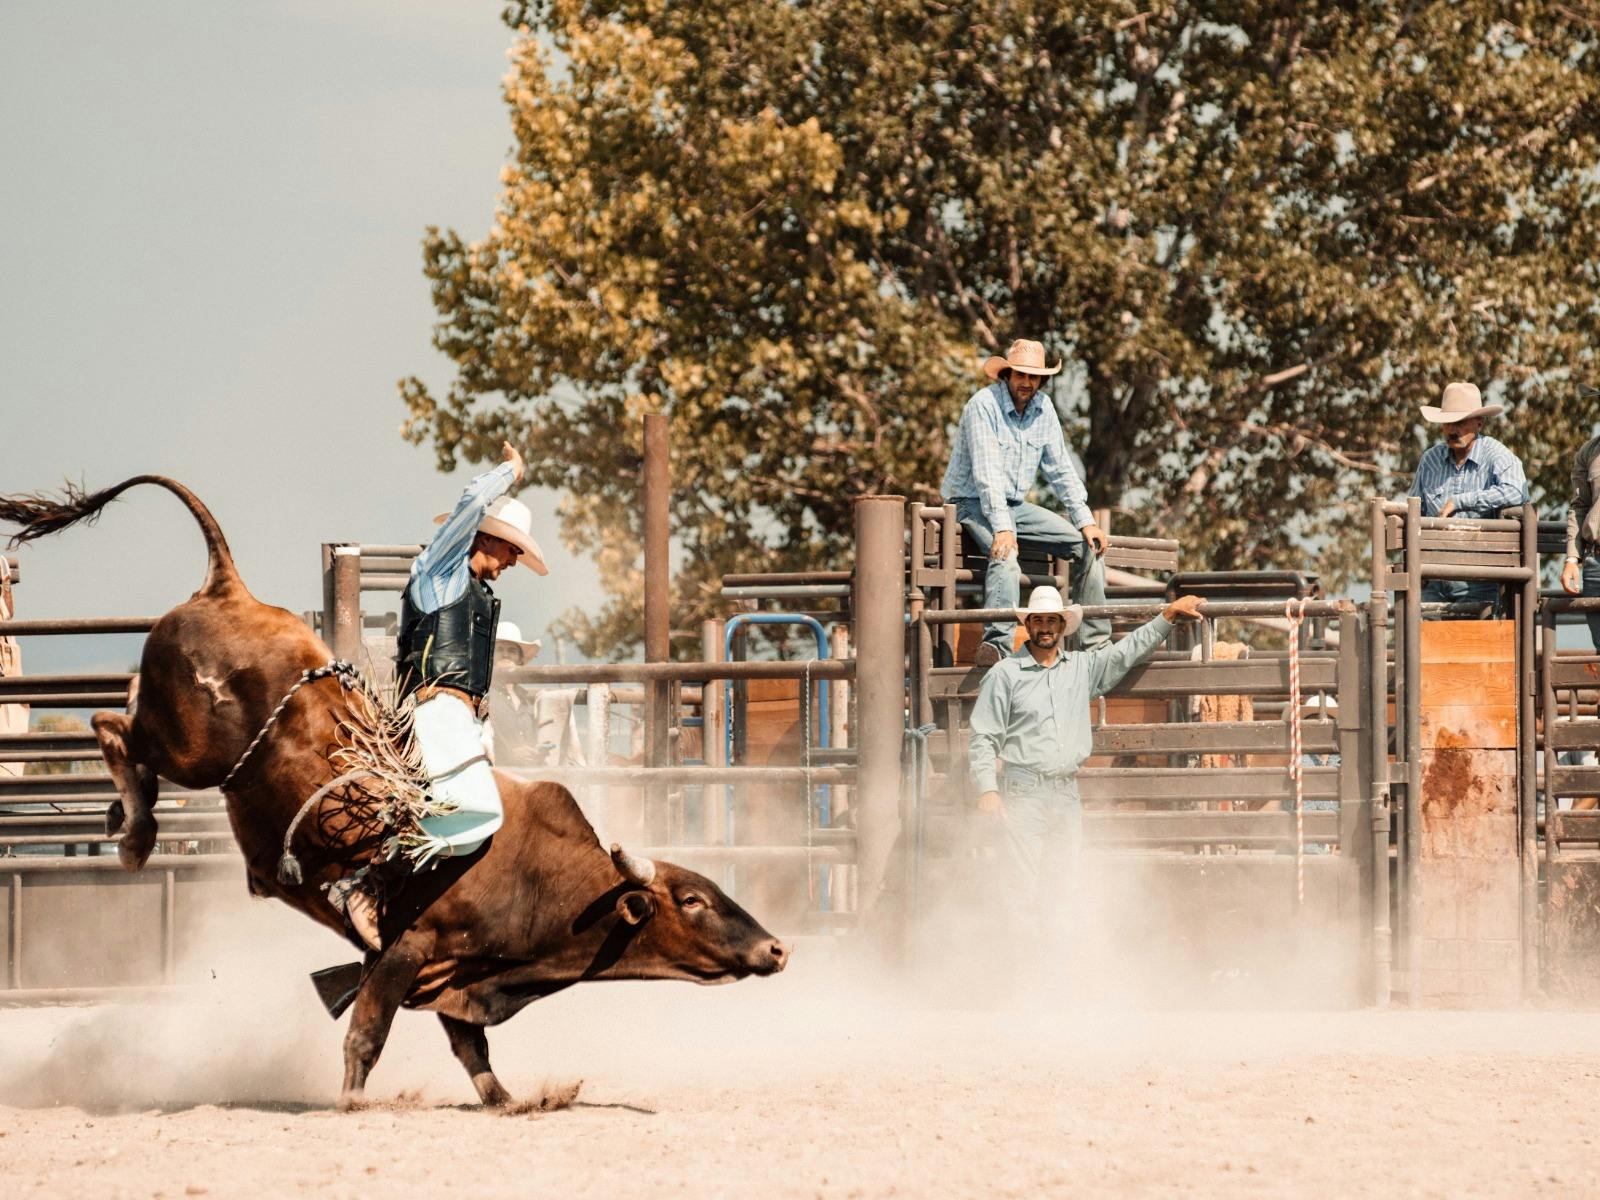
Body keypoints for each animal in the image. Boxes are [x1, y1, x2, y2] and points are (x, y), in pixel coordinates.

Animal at [0, 476, 787, 1107]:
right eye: (693, 900)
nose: (778, 950)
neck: (539, 876)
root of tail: (230, 588)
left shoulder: (455, 975)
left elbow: (472, 1049)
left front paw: (511, 1100)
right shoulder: (408, 950)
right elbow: (367, 1033)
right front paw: (351, 1101)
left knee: (120, 722)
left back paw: (122, 817)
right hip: (191, 747)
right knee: (112, 727)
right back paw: (134, 833)